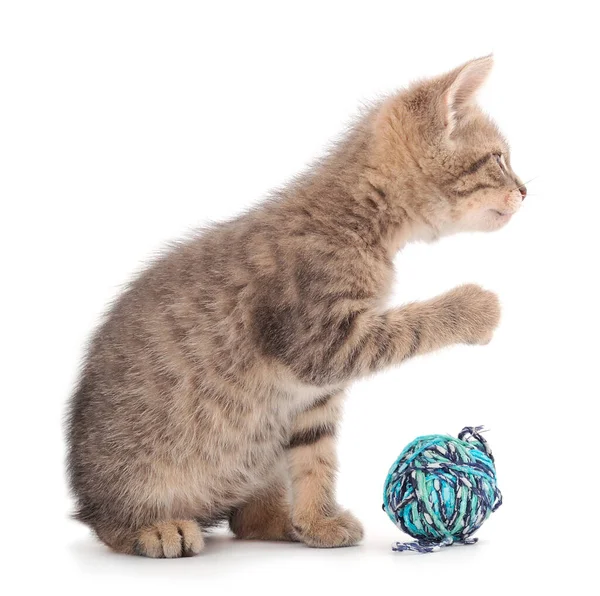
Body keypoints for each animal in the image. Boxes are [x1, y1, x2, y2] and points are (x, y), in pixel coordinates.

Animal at [67, 54, 524, 556]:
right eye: (498, 159)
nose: (525, 190)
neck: (359, 219)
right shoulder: (323, 343)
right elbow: (414, 325)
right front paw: (474, 308)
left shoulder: (313, 395)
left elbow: (314, 457)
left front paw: (316, 521)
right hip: (132, 477)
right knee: (109, 523)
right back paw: (154, 527)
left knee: (245, 519)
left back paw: (280, 520)